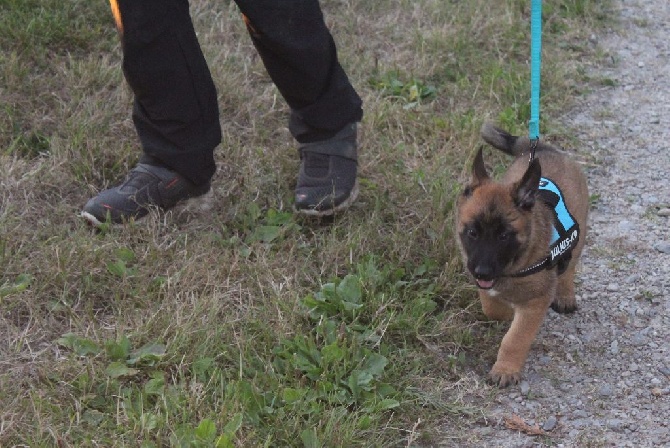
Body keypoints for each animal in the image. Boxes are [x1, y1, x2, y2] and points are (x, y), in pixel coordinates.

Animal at [456, 123, 588, 388]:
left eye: (504, 236)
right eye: (473, 232)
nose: (482, 271)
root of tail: (543, 148)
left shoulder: (535, 302)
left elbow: (515, 338)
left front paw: (505, 369)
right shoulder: (483, 281)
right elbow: (491, 307)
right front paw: (505, 311)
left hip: (579, 234)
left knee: (569, 267)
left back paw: (565, 294)